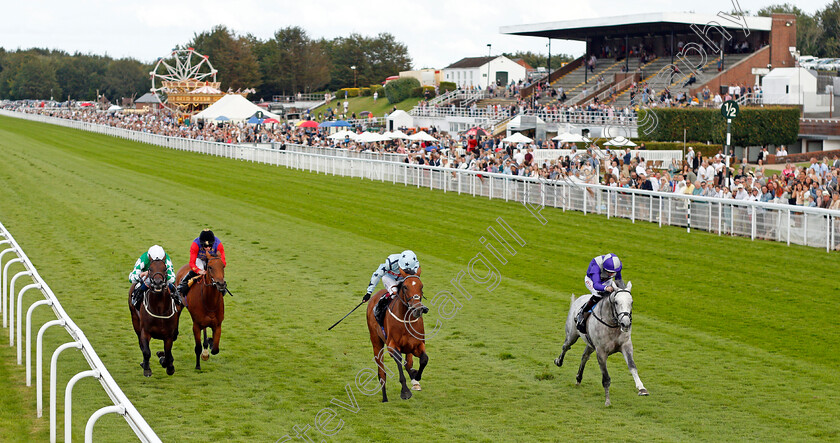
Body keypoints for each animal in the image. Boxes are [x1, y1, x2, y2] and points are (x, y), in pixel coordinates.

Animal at [366, 274, 430, 402]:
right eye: (405, 287)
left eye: (421, 286)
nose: (418, 309)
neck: (406, 320)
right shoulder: (392, 346)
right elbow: (399, 363)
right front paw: (405, 391)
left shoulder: (417, 345)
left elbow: (424, 359)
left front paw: (416, 376)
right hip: (376, 342)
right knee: (382, 372)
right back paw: (384, 397)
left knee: (408, 363)